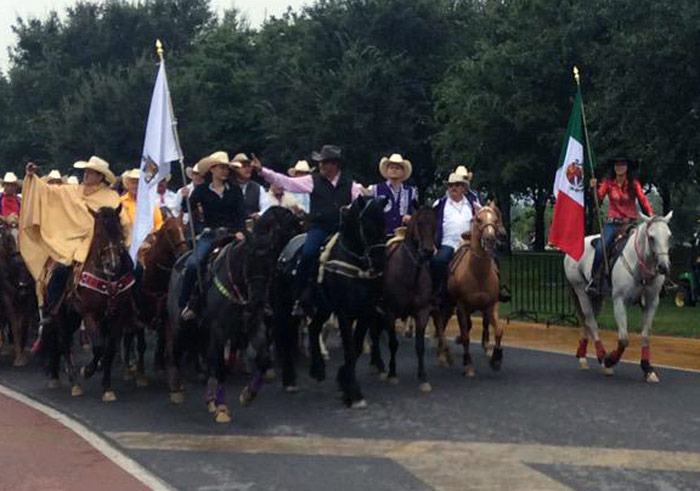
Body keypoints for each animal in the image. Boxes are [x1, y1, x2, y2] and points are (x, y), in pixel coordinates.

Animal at [0, 225, 37, 368]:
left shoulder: (29, 298)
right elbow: (15, 325)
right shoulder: (7, 297)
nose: (18, 256)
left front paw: (21, 353)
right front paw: (18, 358)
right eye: (8, 237)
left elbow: (23, 324)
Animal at [276, 195, 388, 408]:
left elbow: (357, 347)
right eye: (368, 225)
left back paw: (317, 369)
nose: (380, 264)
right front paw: (354, 393)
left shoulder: (365, 311)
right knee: (285, 338)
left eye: (385, 223)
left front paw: (343, 382)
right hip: (287, 308)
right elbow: (350, 349)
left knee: (313, 328)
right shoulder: (344, 313)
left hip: (323, 308)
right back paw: (289, 380)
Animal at [370, 208, 434, 392]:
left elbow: (420, 345)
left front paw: (423, 377)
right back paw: (378, 365)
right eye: (419, 223)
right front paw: (392, 374)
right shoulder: (390, 313)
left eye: (435, 223)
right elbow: (393, 343)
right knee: (374, 335)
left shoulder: (422, 313)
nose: (427, 251)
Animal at [434, 204, 506, 376]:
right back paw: (442, 356)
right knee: (440, 325)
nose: (490, 239)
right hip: (444, 304)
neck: (477, 273)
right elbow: (466, 334)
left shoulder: (491, 305)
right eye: (478, 219)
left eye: (495, 219)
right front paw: (468, 365)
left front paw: (496, 358)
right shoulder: (461, 306)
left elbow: (498, 330)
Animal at [564, 212, 672, 384]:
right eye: (651, 237)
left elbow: (646, 335)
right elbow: (623, 339)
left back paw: (583, 356)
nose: (663, 267)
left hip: (597, 297)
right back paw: (602, 357)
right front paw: (610, 360)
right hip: (580, 289)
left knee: (587, 322)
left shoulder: (652, 302)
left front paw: (648, 369)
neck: (639, 265)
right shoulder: (619, 301)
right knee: (591, 321)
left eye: (669, 236)